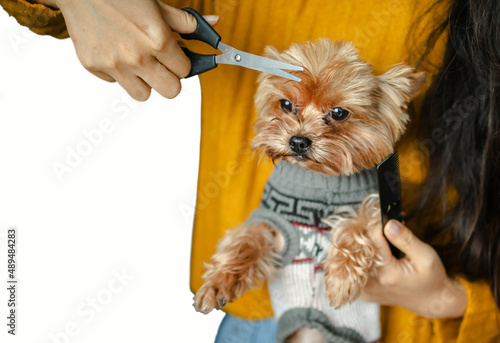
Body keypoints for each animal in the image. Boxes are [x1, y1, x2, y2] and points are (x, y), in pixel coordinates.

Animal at [193, 39, 424, 342]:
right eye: (286, 104)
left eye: (338, 113)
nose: (298, 141)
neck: (321, 179)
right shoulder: (273, 221)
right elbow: (246, 240)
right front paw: (219, 282)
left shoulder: (378, 209)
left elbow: (358, 224)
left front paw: (341, 279)